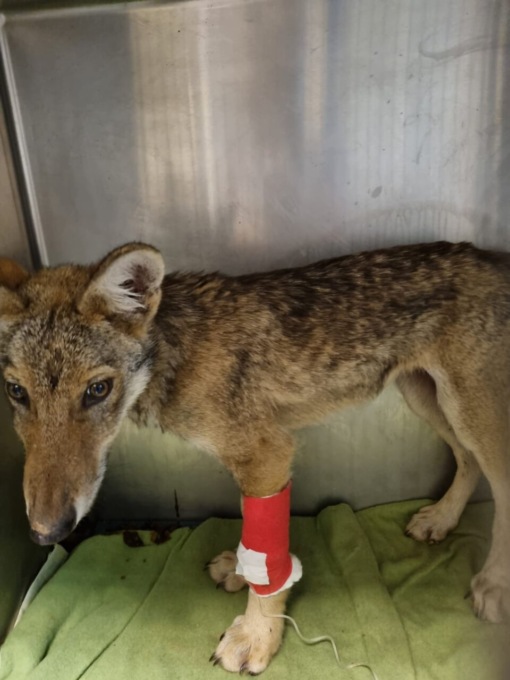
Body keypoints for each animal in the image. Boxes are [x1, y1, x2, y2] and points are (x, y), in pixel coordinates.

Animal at [0, 240, 509, 674]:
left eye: (98, 390)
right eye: (16, 392)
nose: (47, 532)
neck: (177, 355)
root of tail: (494, 257)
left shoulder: (266, 454)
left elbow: (269, 553)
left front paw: (257, 634)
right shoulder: (252, 462)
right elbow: (256, 536)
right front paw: (241, 572)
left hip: (468, 410)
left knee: (499, 485)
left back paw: (493, 583)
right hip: (425, 397)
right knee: (467, 462)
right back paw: (441, 518)